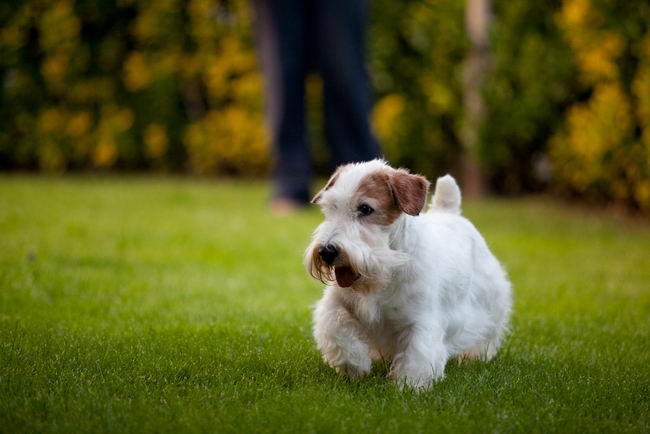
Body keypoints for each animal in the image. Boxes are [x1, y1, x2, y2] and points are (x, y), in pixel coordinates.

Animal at [304, 160, 512, 390]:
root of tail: (450, 213)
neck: (388, 267)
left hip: (489, 304)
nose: (327, 252)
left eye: (365, 208)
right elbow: (338, 330)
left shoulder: (420, 322)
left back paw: (476, 356)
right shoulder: (336, 306)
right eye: (330, 207)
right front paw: (355, 365)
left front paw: (408, 386)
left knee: (488, 333)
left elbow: (417, 356)